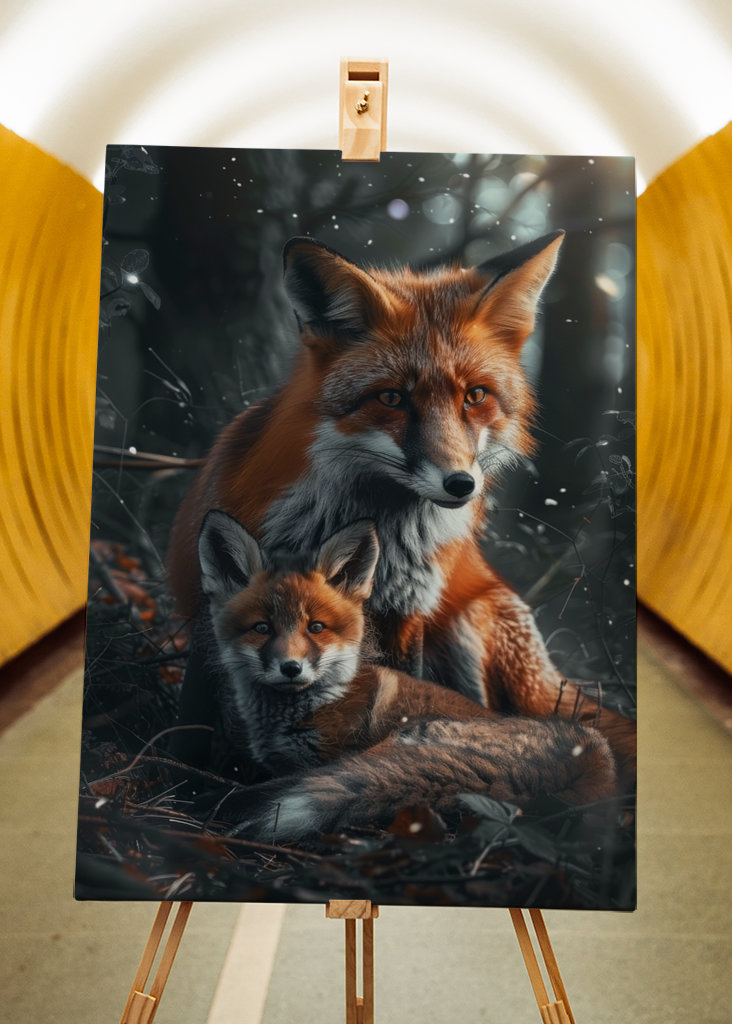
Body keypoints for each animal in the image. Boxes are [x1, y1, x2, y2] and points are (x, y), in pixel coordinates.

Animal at [167, 231, 635, 774]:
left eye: (475, 396)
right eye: (392, 399)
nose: (461, 484)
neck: (374, 526)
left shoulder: (409, 611)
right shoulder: (214, 605)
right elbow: (191, 722)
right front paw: (185, 773)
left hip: (468, 624)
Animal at [197, 509, 618, 841]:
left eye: (316, 628)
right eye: (262, 628)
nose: (291, 668)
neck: (318, 701)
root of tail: (591, 759)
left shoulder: (329, 757)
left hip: (400, 743)